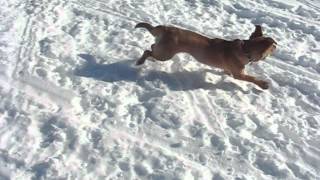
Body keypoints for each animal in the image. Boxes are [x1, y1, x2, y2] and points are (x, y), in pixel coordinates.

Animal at [134, 22, 276, 89]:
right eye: (274, 47)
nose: (277, 46)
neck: (245, 49)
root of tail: (166, 28)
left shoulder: (230, 69)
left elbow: (227, 71)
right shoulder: (239, 74)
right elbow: (252, 78)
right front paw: (263, 84)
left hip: (163, 50)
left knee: (152, 47)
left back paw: (149, 59)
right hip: (166, 54)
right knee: (148, 50)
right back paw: (141, 61)